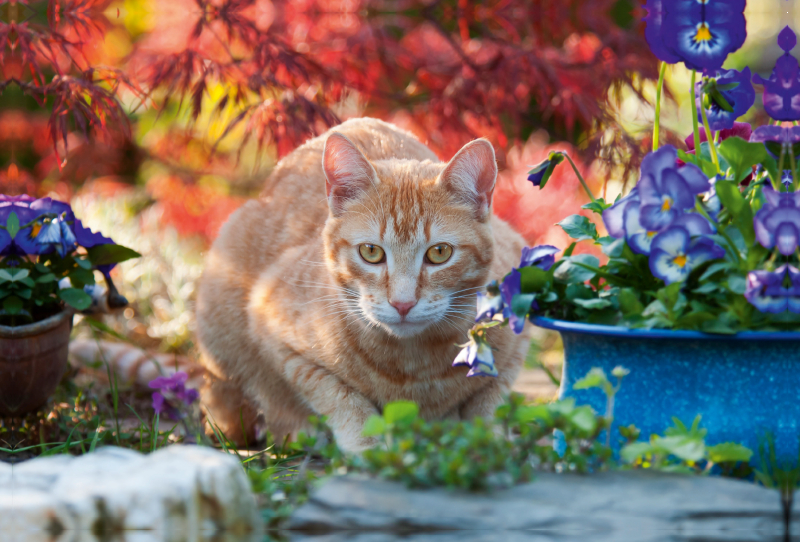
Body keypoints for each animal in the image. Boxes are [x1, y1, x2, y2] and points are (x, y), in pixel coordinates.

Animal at [195, 118, 532, 450]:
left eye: (440, 253)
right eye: (371, 252)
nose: (402, 303)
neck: (412, 367)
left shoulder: (517, 338)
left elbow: (489, 399)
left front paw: (489, 439)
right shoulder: (271, 326)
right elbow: (338, 396)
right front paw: (367, 444)